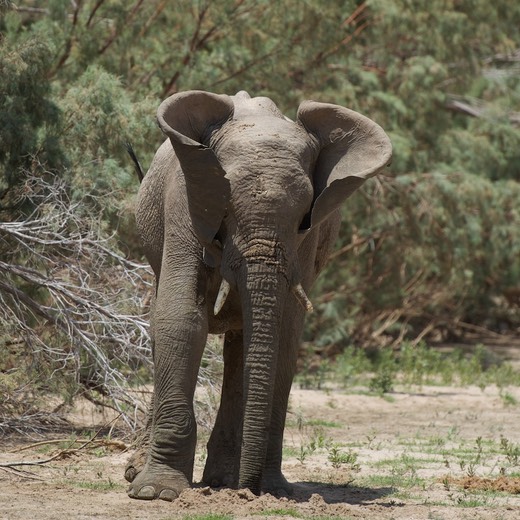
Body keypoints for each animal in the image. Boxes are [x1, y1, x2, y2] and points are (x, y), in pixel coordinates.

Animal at [126, 89, 392, 500]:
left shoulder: (306, 242)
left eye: (303, 216)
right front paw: (157, 493)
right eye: (225, 208)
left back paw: (223, 480)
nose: (249, 492)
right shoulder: (185, 201)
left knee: (243, 343)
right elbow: (181, 318)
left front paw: (272, 490)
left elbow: (283, 335)